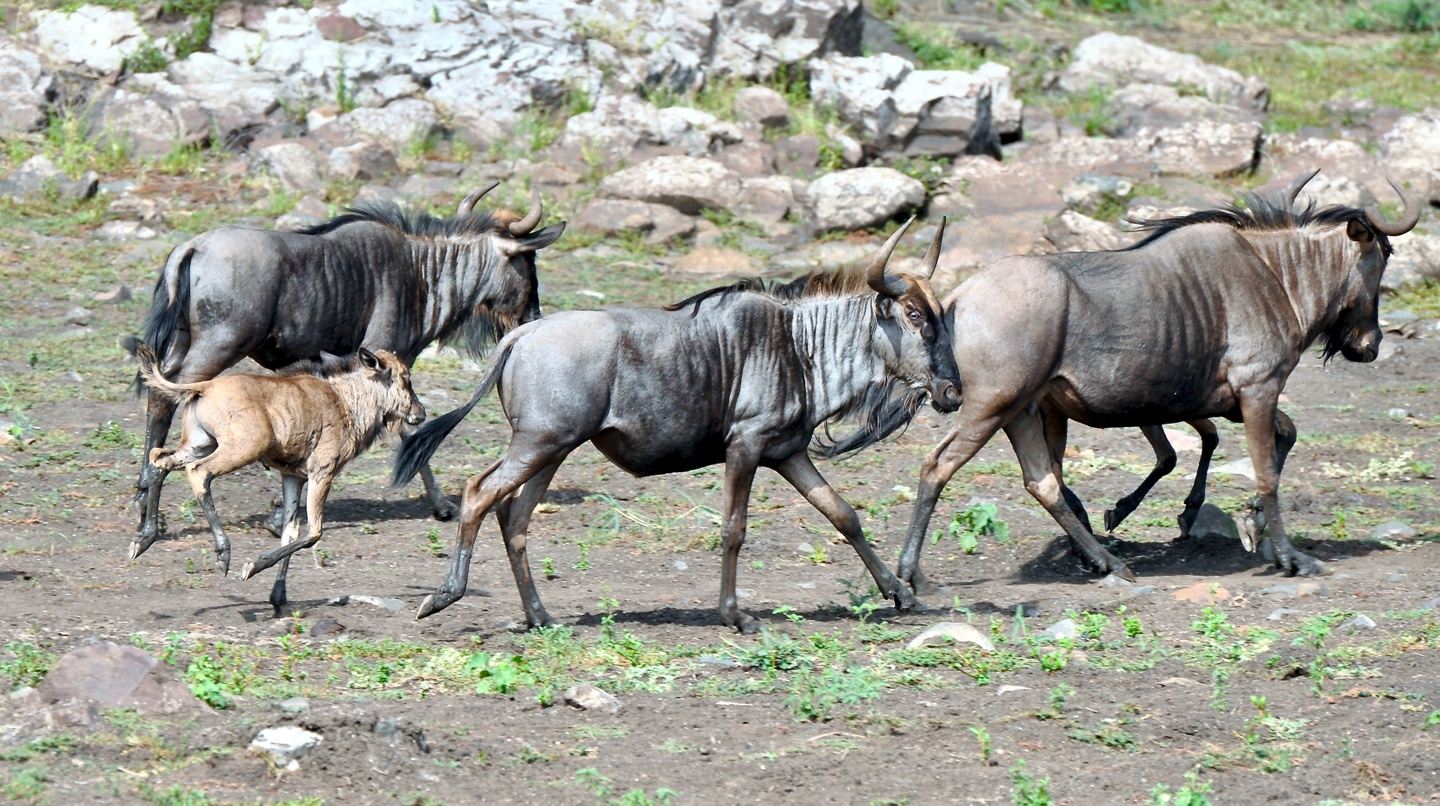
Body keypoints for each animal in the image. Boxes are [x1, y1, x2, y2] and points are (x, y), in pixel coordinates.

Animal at [131, 342, 423, 613]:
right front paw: (251, 566)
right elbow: (314, 532)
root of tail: (205, 387)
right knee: (198, 472)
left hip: (199, 444)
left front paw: (278, 597)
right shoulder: (322, 472)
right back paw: (223, 554)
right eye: (404, 377)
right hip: (242, 448)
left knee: (159, 460)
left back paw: (142, 540)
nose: (419, 413)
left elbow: (290, 534)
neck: (344, 400)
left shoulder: (292, 477)